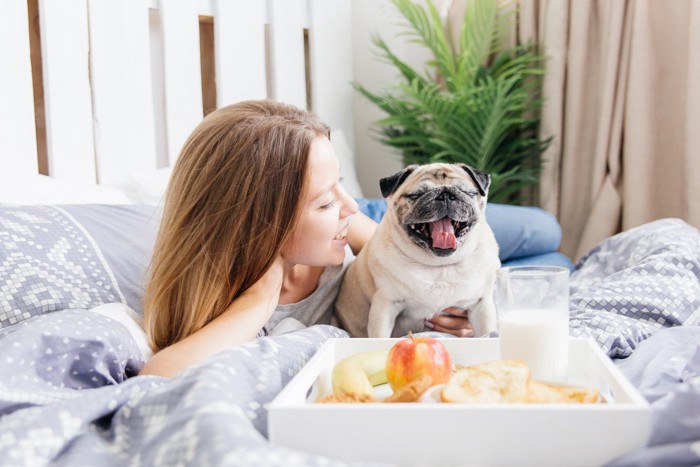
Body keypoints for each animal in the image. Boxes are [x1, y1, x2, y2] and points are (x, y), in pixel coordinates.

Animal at [336, 163, 500, 338]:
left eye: (467, 193)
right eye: (416, 195)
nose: (445, 195)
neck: (438, 266)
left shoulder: (480, 305)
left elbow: (487, 332)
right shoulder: (385, 305)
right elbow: (379, 335)